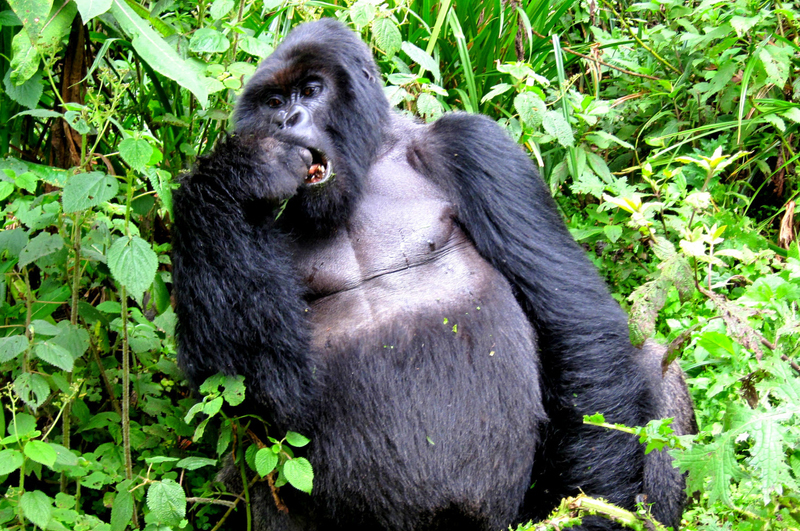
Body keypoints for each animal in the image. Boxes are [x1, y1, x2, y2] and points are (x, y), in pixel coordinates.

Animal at [173, 18, 692, 528]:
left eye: (311, 90)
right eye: (274, 103)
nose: (286, 122)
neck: (371, 160)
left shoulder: (475, 145)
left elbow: (573, 320)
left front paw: (597, 509)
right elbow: (250, 388)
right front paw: (235, 173)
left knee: (652, 363)